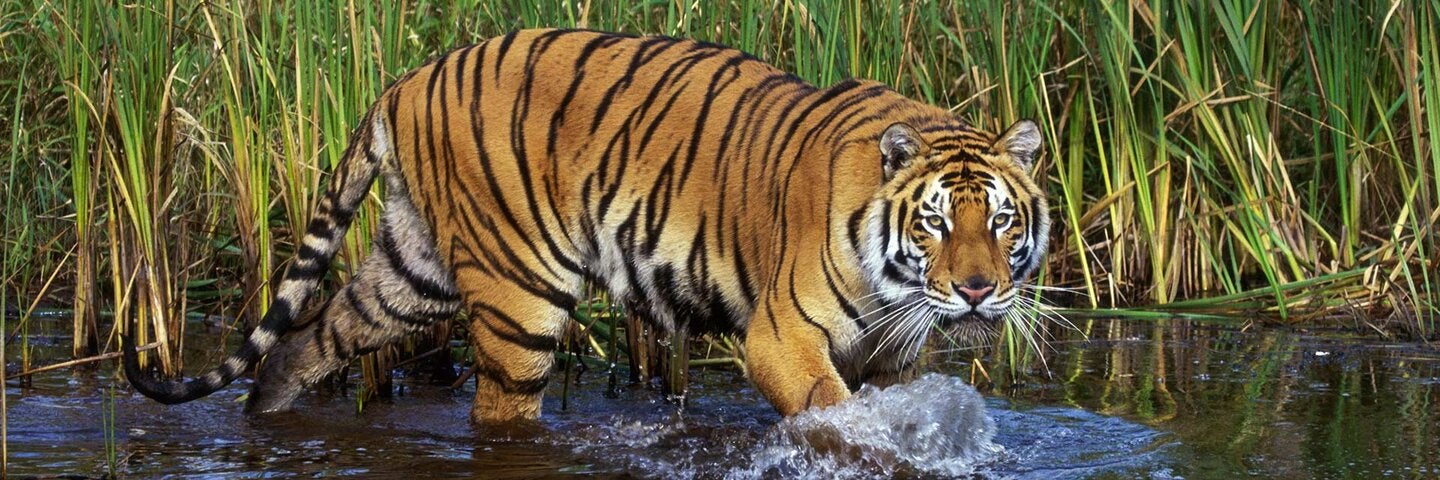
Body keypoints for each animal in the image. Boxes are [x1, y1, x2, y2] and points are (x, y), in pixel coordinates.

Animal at [123, 28, 1049, 423]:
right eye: (934, 225)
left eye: (1003, 223)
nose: (977, 293)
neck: (900, 287)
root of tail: (408, 78)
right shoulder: (781, 340)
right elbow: (842, 424)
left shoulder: (892, 359)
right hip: (518, 298)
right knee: (497, 411)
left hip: (413, 270)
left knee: (311, 335)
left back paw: (265, 411)